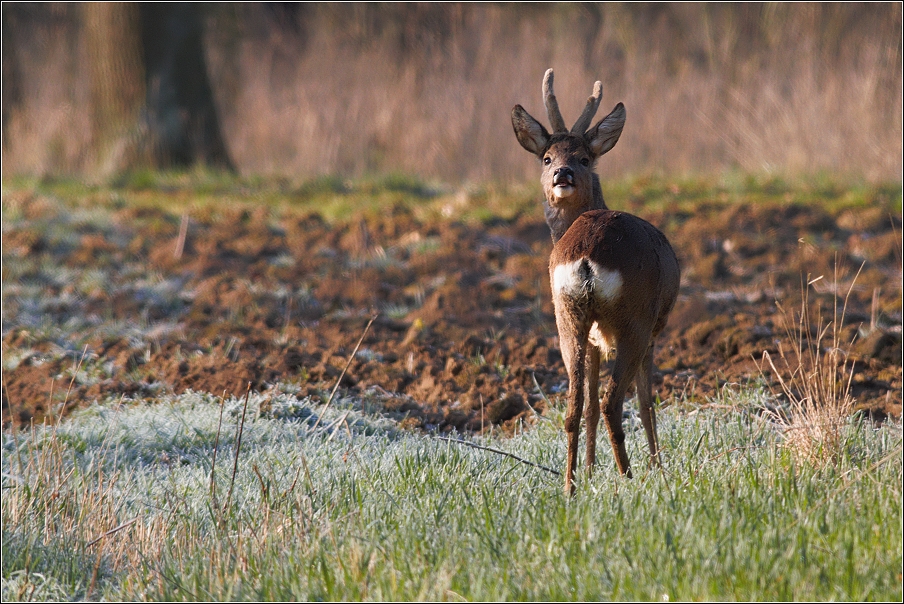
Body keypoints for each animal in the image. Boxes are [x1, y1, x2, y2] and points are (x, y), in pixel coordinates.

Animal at [516, 71, 680, 496]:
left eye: (583, 157)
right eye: (547, 158)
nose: (562, 173)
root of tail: (587, 256)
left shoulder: (591, 337)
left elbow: (587, 405)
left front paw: (589, 472)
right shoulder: (653, 330)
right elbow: (647, 401)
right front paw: (659, 469)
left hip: (568, 316)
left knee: (575, 406)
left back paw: (570, 486)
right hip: (634, 319)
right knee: (613, 402)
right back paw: (630, 478)